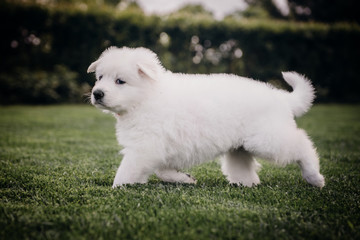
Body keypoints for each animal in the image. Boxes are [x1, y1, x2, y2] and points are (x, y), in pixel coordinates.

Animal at [88, 47, 326, 188]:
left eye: (120, 81)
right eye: (100, 77)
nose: (97, 93)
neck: (146, 97)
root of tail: (281, 97)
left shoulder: (145, 147)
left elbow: (127, 171)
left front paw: (117, 188)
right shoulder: (156, 148)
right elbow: (162, 170)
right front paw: (185, 179)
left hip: (266, 139)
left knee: (301, 143)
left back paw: (314, 177)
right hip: (239, 147)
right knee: (244, 168)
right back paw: (244, 183)